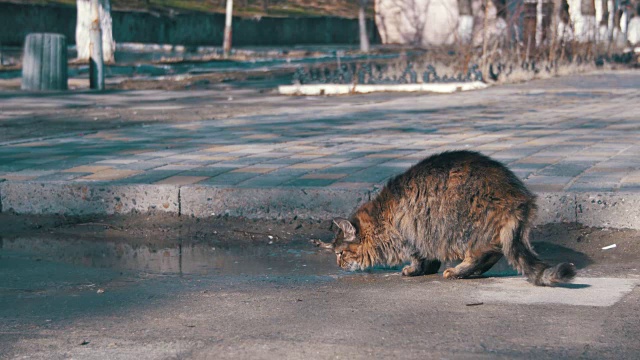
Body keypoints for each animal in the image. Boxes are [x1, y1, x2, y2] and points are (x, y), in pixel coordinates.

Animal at [318, 150, 576, 286]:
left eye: (340, 253)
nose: (338, 264)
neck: (381, 216)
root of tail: (516, 195)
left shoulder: (411, 233)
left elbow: (420, 258)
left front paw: (414, 270)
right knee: (495, 251)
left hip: (458, 227)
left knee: (482, 253)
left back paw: (459, 271)